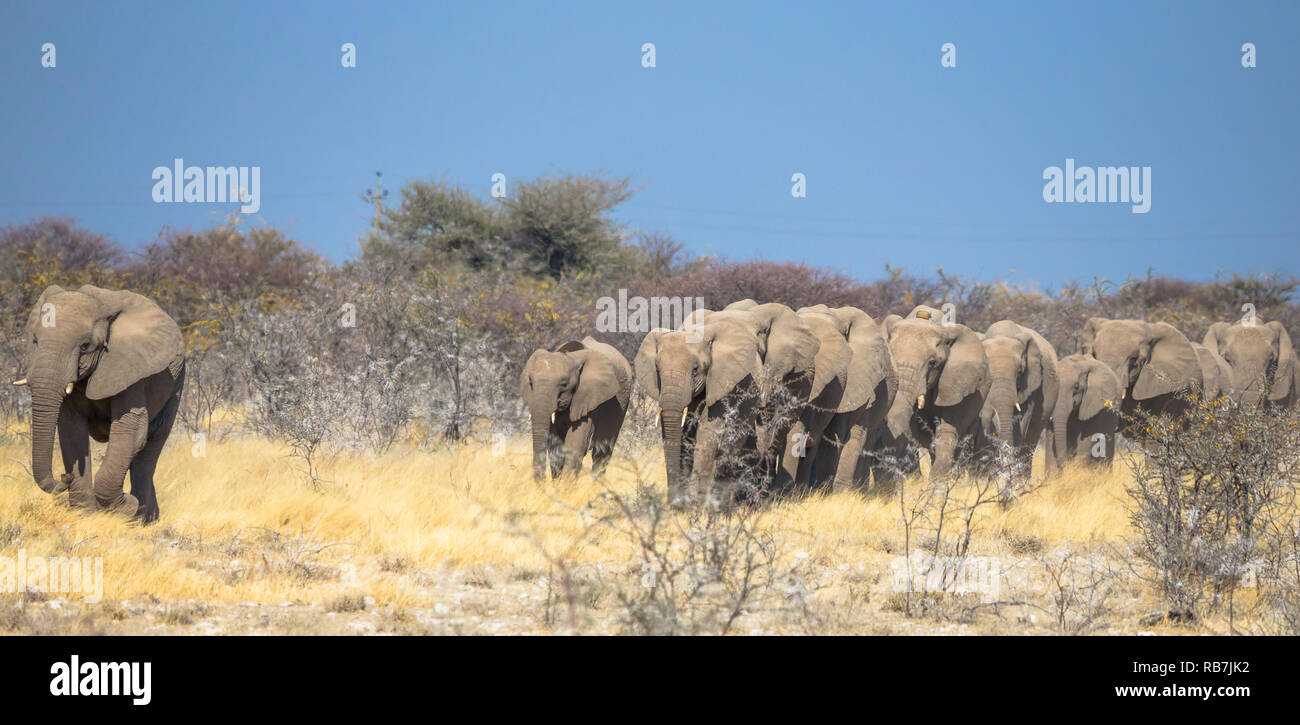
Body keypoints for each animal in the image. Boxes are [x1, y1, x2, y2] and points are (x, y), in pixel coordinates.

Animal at [13, 284, 187, 522]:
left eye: (85, 346)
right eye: (35, 341)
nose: (64, 476)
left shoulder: (130, 368)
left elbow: (131, 430)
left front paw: (127, 507)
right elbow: (71, 432)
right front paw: (84, 515)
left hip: (176, 384)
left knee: (150, 447)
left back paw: (142, 518)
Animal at [522, 337, 634, 480]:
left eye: (564, 384)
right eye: (530, 382)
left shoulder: (590, 398)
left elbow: (575, 445)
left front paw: (566, 486)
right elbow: (555, 447)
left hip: (621, 406)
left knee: (601, 454)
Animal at [631, 318, 759, 498]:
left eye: (695, 369)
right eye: (656, 369)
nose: (672, 498)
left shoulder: (721, 386)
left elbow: (706, 435)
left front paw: (692, 499)